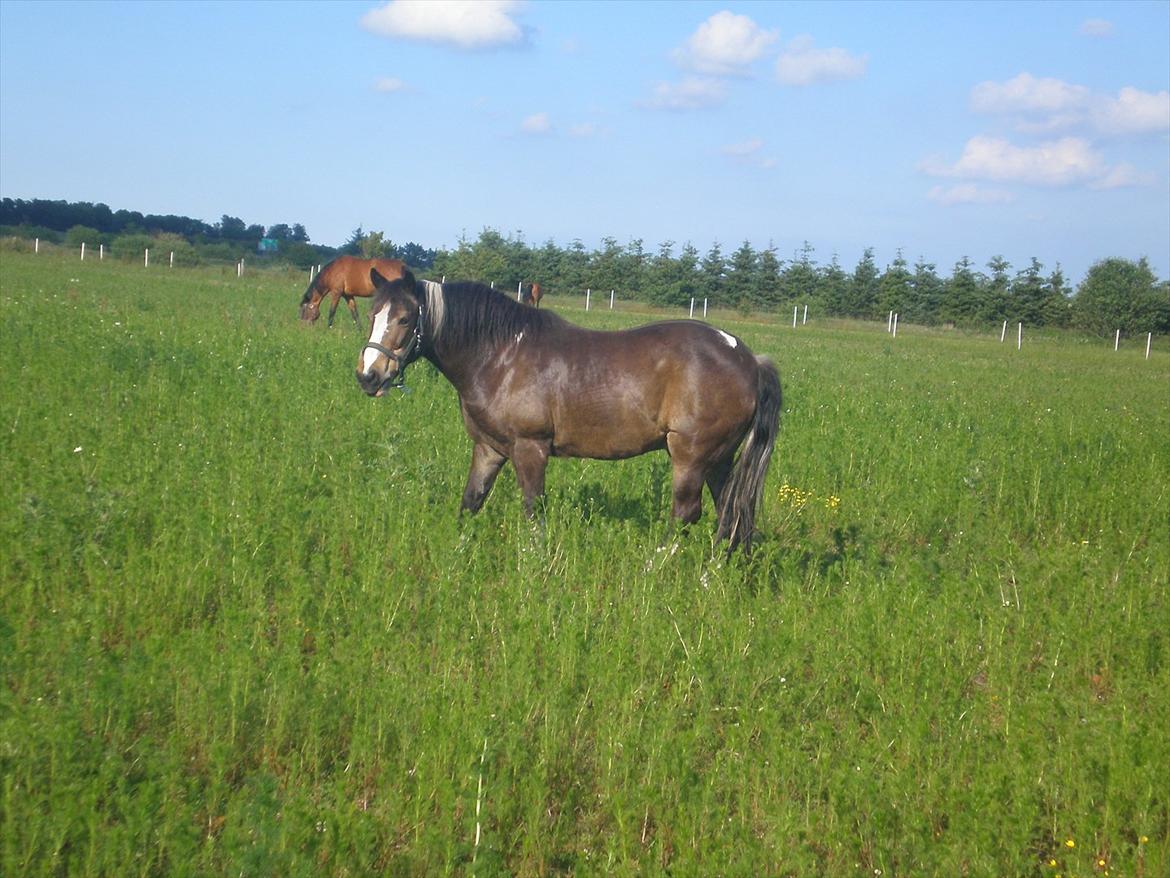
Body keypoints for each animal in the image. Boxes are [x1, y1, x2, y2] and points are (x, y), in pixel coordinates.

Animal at [355, 268, 782, 553]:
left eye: (404, 318)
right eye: (372, 314)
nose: (368, 376)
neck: (502, 355)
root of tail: (748, 359)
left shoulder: (530, 448)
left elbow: (533, 512)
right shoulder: (489, 449)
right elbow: (471, 503)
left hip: (691, 456)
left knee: (687, 514)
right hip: (719, 459)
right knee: (730, 513)